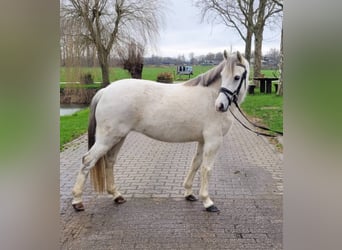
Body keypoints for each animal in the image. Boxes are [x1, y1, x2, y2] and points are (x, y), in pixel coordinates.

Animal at [71, 50, 248, 213]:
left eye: (236, 77)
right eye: (223, 75)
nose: (220, 106)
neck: (211, 96)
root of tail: (105, 91)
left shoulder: (203, 140)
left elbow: (195, 164)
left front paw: (189, 193)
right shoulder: (213, 140)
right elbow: (207, 169)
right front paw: (208, 202)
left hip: (118, 137)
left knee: (109, 162)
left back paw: (116, 195)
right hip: (106, 139)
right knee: (87, 161)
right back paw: (77, 201)